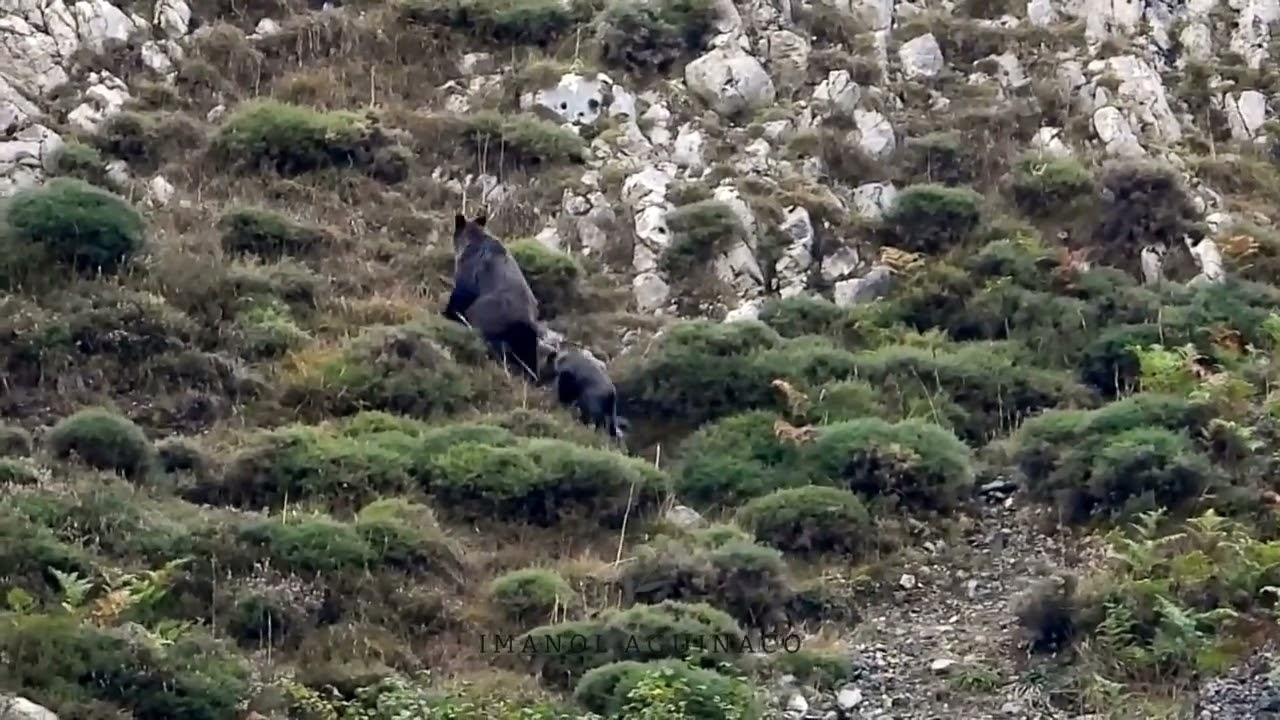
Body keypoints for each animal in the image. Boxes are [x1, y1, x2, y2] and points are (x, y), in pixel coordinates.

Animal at [442, 213, 542, 380]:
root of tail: (522, 320)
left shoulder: (469, 272)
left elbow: (460, 296)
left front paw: (448, 313)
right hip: (526, 334)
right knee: (528, 353)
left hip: (491, 313)